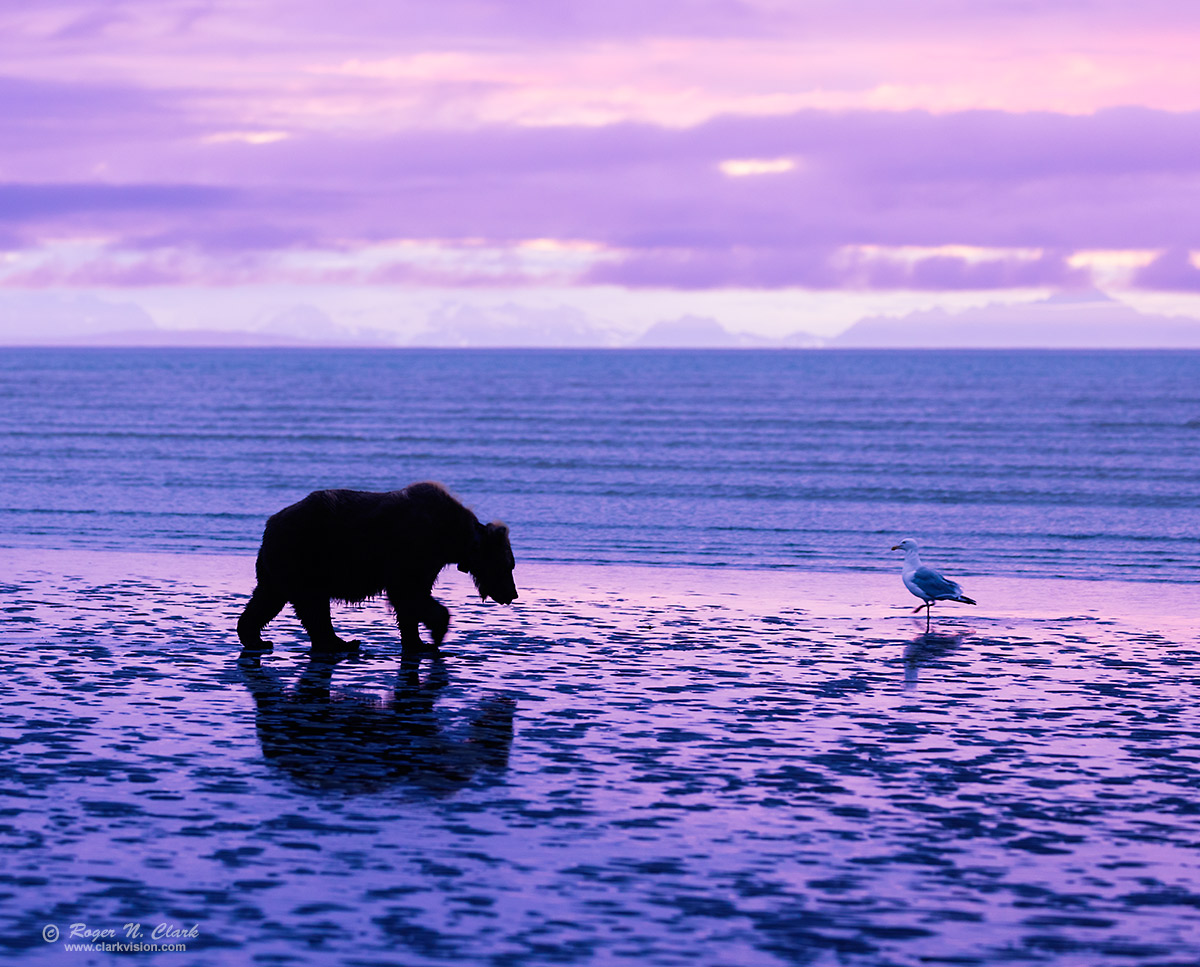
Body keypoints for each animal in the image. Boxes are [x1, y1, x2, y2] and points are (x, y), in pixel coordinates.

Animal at [235, 484, 516, 657]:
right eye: (508, 565)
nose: (512, 594)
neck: (451, 536)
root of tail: (270, 524)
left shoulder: (428, 561)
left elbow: (413, 598)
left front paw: (418, 642)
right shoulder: (413, 548)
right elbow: (407, 592)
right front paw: (435, 634)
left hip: (281, 565)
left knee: (269, 598)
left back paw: (257, 637)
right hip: (305, 554)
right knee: (311, 604)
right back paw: (341, 643)